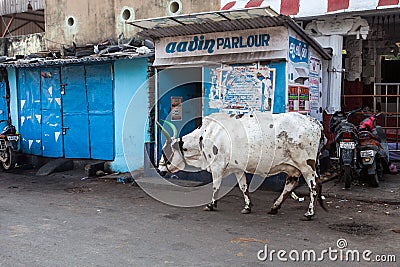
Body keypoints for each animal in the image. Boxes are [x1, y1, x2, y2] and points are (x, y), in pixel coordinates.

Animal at [155, 112, 324, 219]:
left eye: (166, 151)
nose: (160, 169)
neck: (205, 135)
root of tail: (314, 122)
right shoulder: (238, 169)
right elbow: (243, 187)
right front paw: (247, 207)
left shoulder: (217, 166)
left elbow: (215, 186)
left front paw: (211, 205)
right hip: (293, 168)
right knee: (289, 186)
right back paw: (274, 208)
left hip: (306, 165)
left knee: (314, 185)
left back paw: (309, 213)